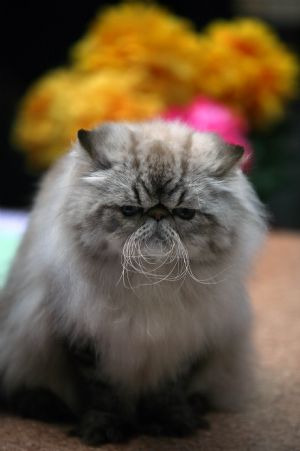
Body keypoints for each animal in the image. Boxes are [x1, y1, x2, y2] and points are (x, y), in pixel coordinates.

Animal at [0, 120, 268, 444]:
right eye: (129, 210)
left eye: (185, 213)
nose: (158, 214)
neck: (152, 281)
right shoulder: (86, 339)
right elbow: (103, 395)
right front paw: (104, 429)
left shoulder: (183, 340)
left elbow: (169, 392)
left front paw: (171, 423)